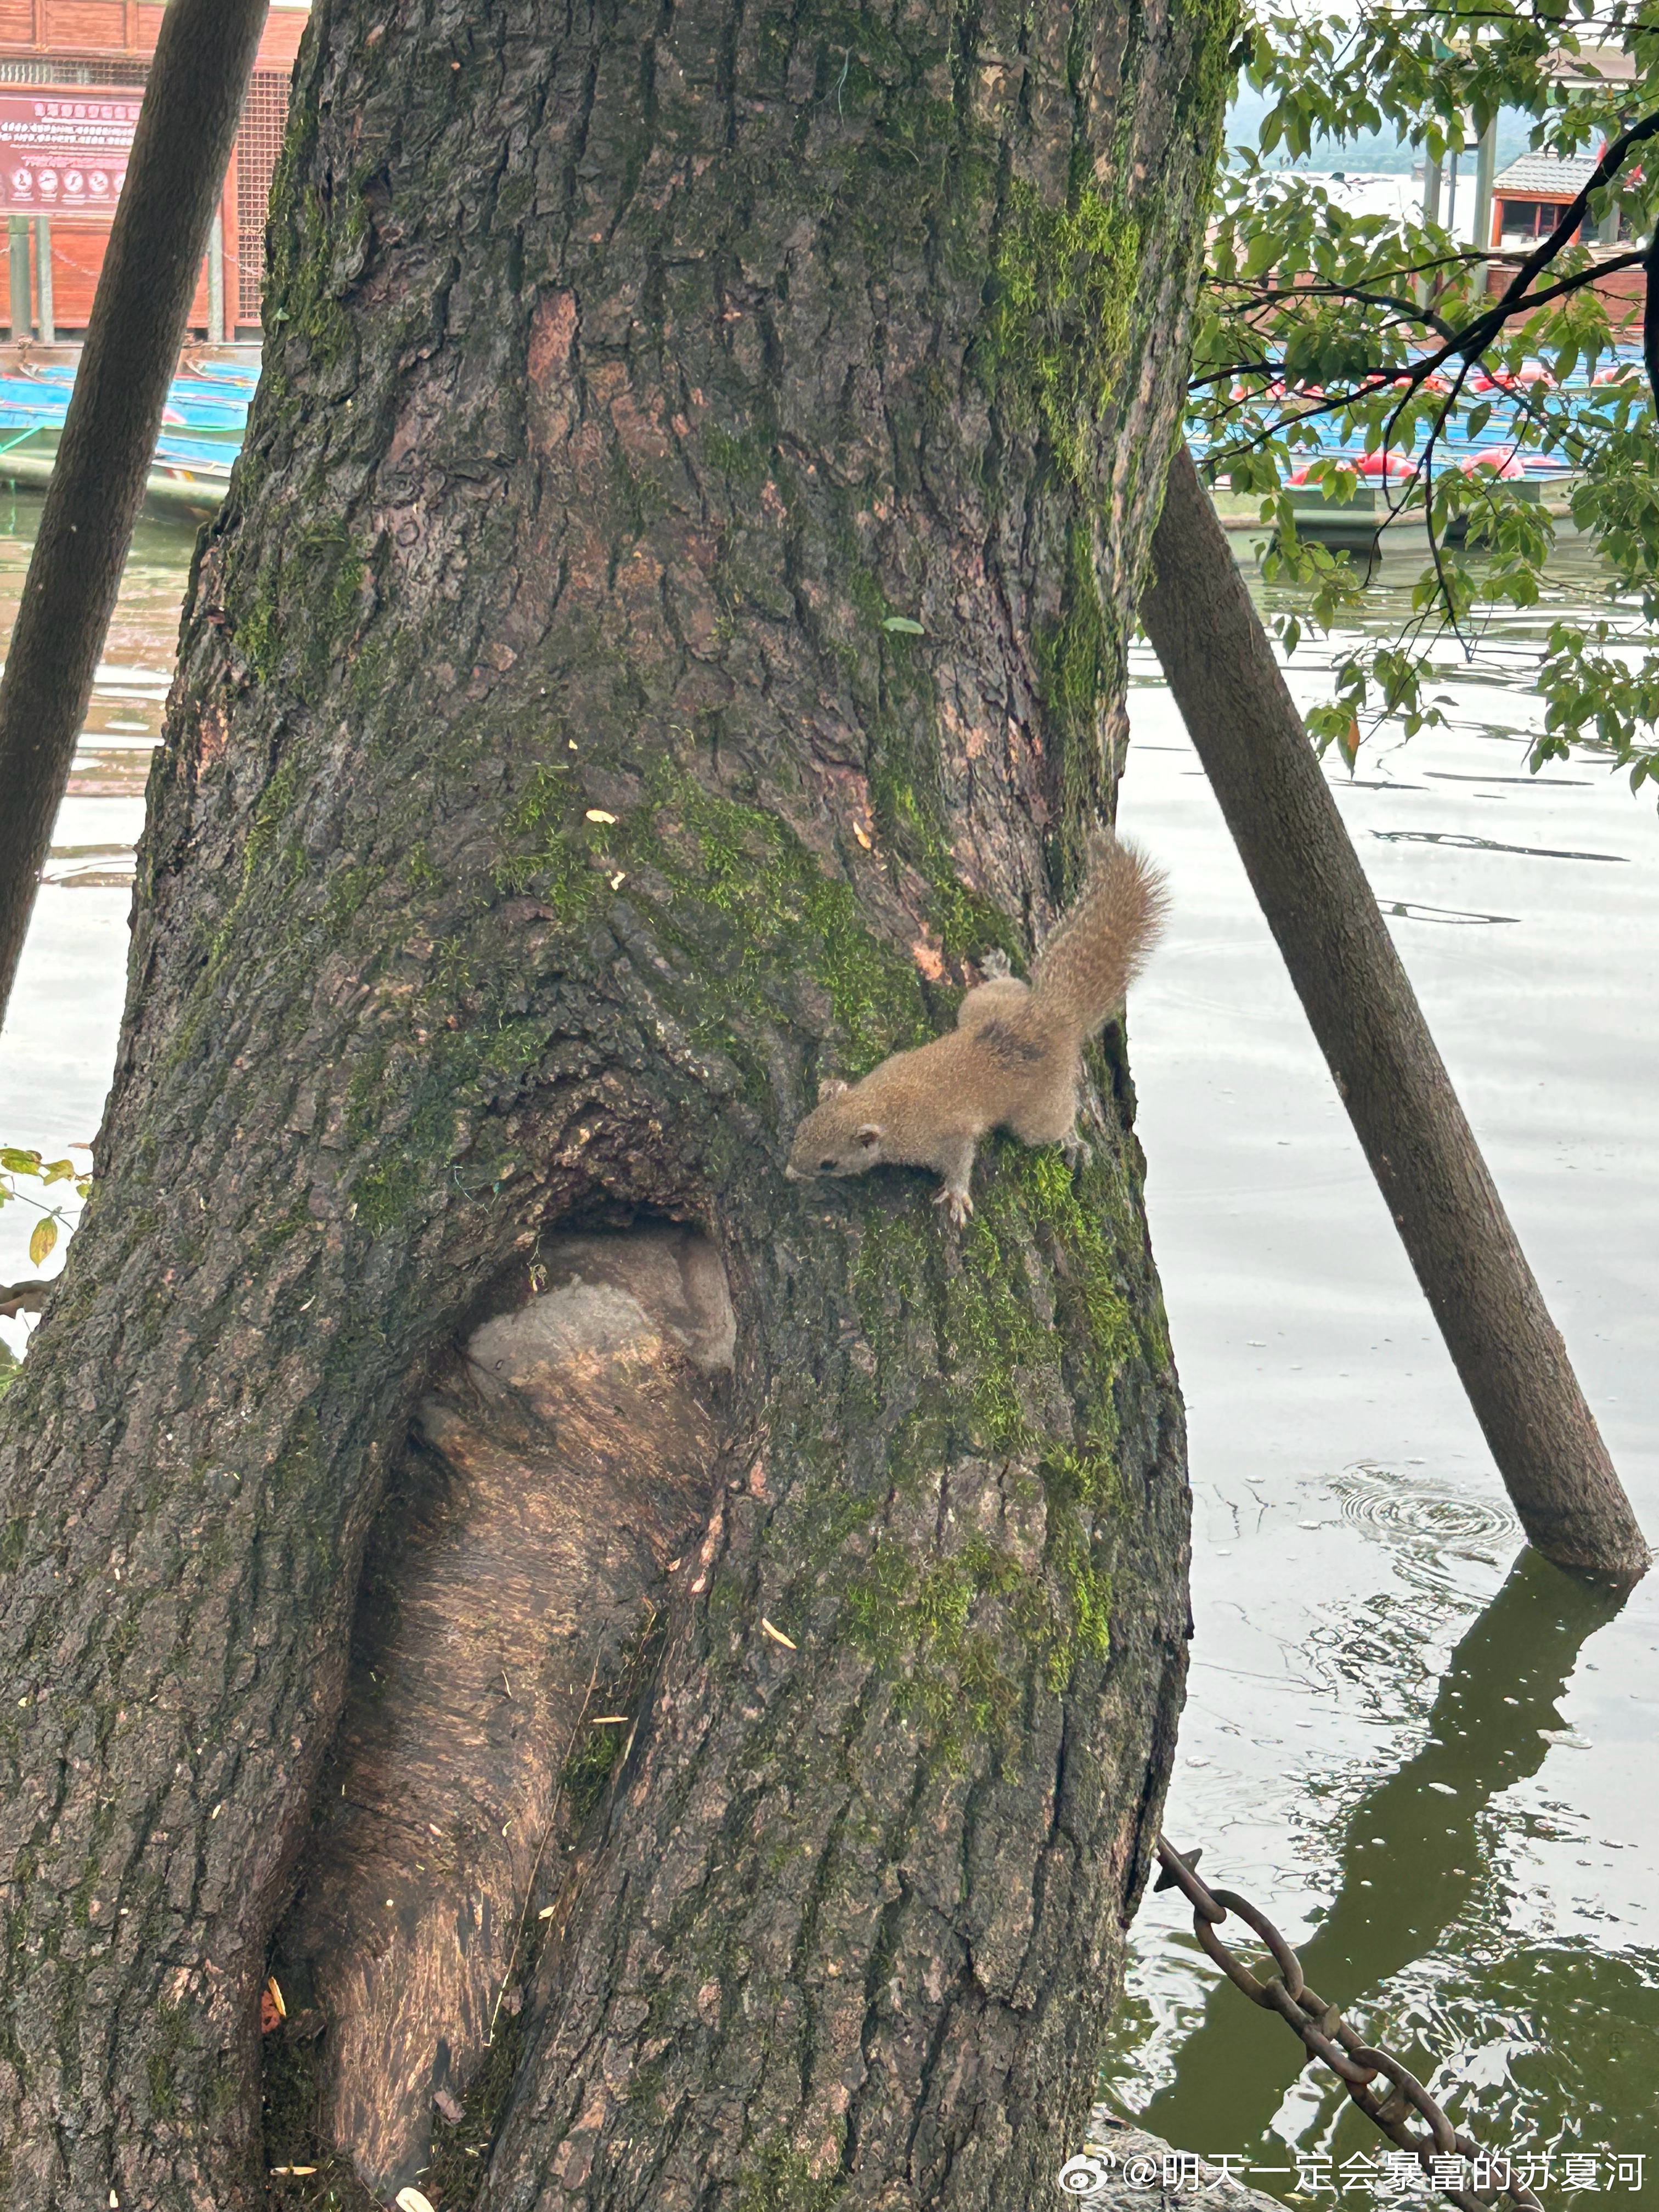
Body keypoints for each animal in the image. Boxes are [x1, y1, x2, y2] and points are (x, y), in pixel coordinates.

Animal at [787, 827, 1167, 1221]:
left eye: (828, 1163)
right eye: (801, 1130)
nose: (790, 1172)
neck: (881, 1103)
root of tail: (1052, 1015)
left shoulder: (944, 1137)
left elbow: (960, 1159)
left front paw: (956, 1194)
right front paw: (833, 1084)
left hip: (1040, 1108)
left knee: (1055, 1122)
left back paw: (1072, 1140)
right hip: (980, 1007)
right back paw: (998, 969)